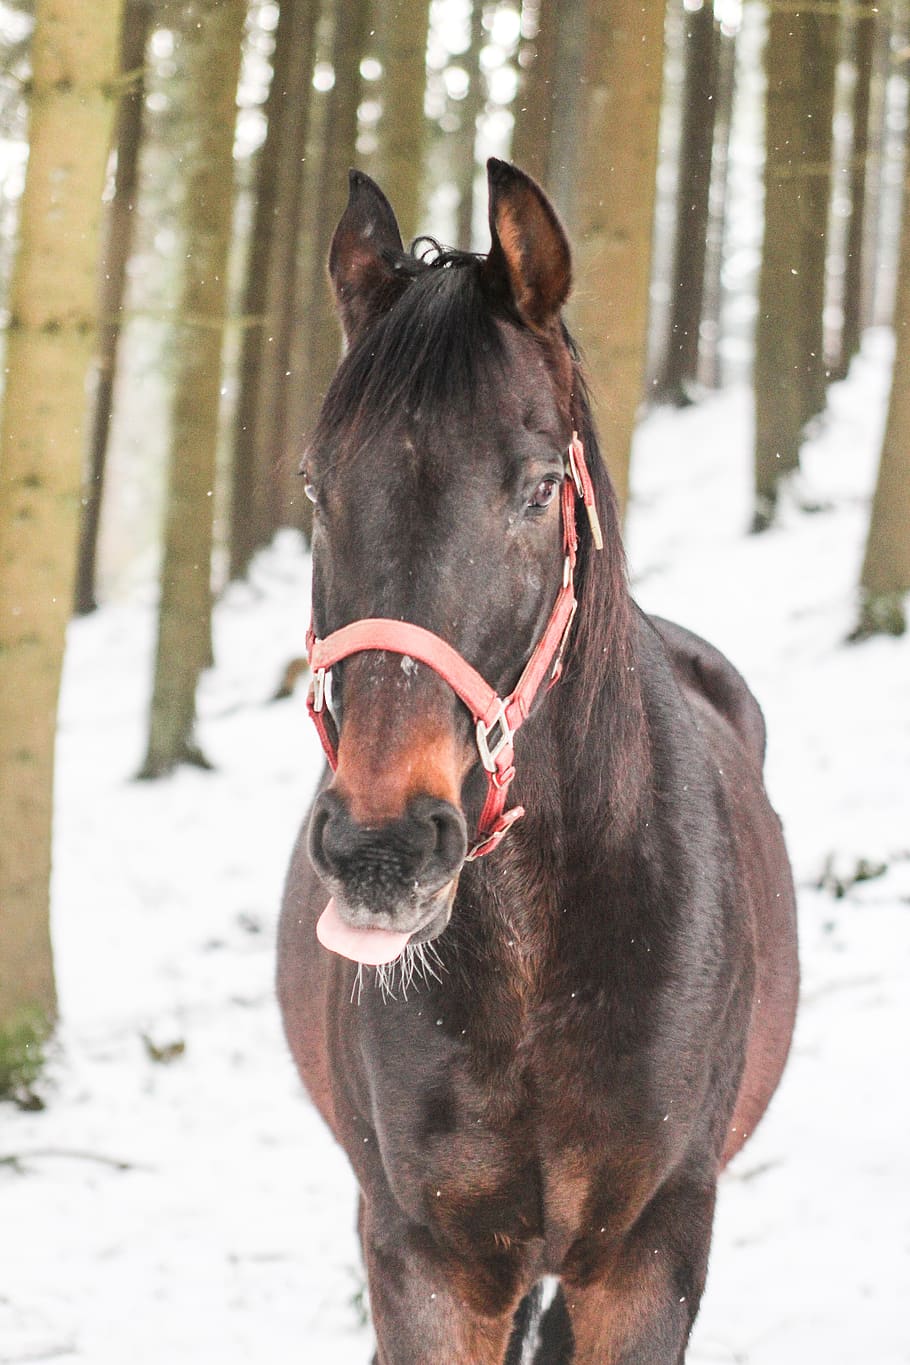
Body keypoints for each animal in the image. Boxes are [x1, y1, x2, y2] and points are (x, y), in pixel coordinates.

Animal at [277, 158, 798, 1364]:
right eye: (320, 488)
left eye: (535, 488)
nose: (382, 846)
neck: (534, 957)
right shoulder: (428, 1263)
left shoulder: (647, 1257)